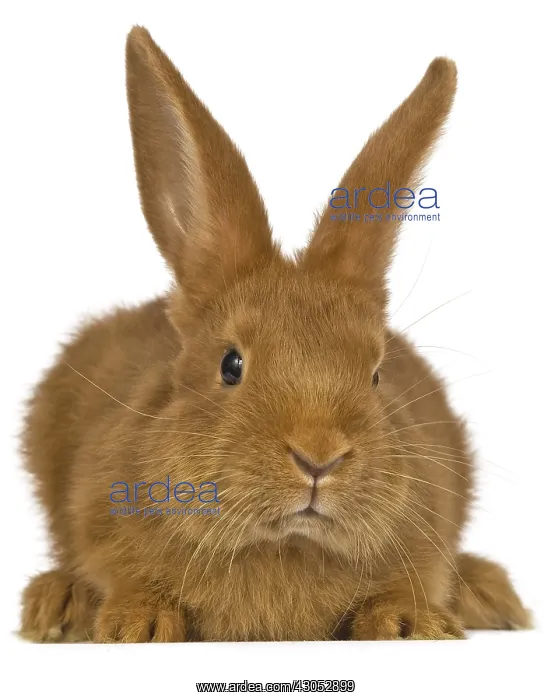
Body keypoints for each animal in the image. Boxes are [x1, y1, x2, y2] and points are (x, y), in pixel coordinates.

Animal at [19, 26, 531, 643]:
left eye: (376, 374)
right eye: (230, 365)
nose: (318, 458)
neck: (283, 545)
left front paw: (410, 622)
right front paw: (135, 622)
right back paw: (56, 603)